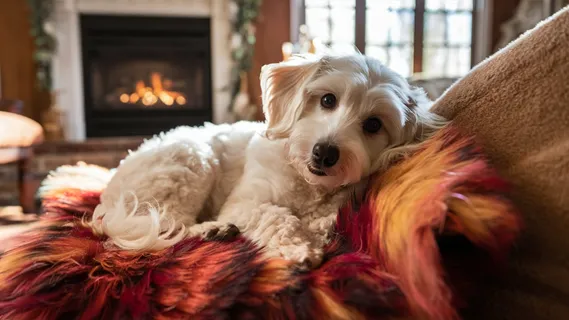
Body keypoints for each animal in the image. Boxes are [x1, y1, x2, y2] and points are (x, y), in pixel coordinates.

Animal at [90, 53, 444, 266]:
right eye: (328, 100)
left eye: (373, 125)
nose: (325, 152)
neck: (306, 183)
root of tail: (110, 203)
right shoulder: (245, 203)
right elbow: (276, 216)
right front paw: (301, 246)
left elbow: (329, 215)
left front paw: (318, 228)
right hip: (190, 161)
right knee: (168, 223)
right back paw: (212, 228)